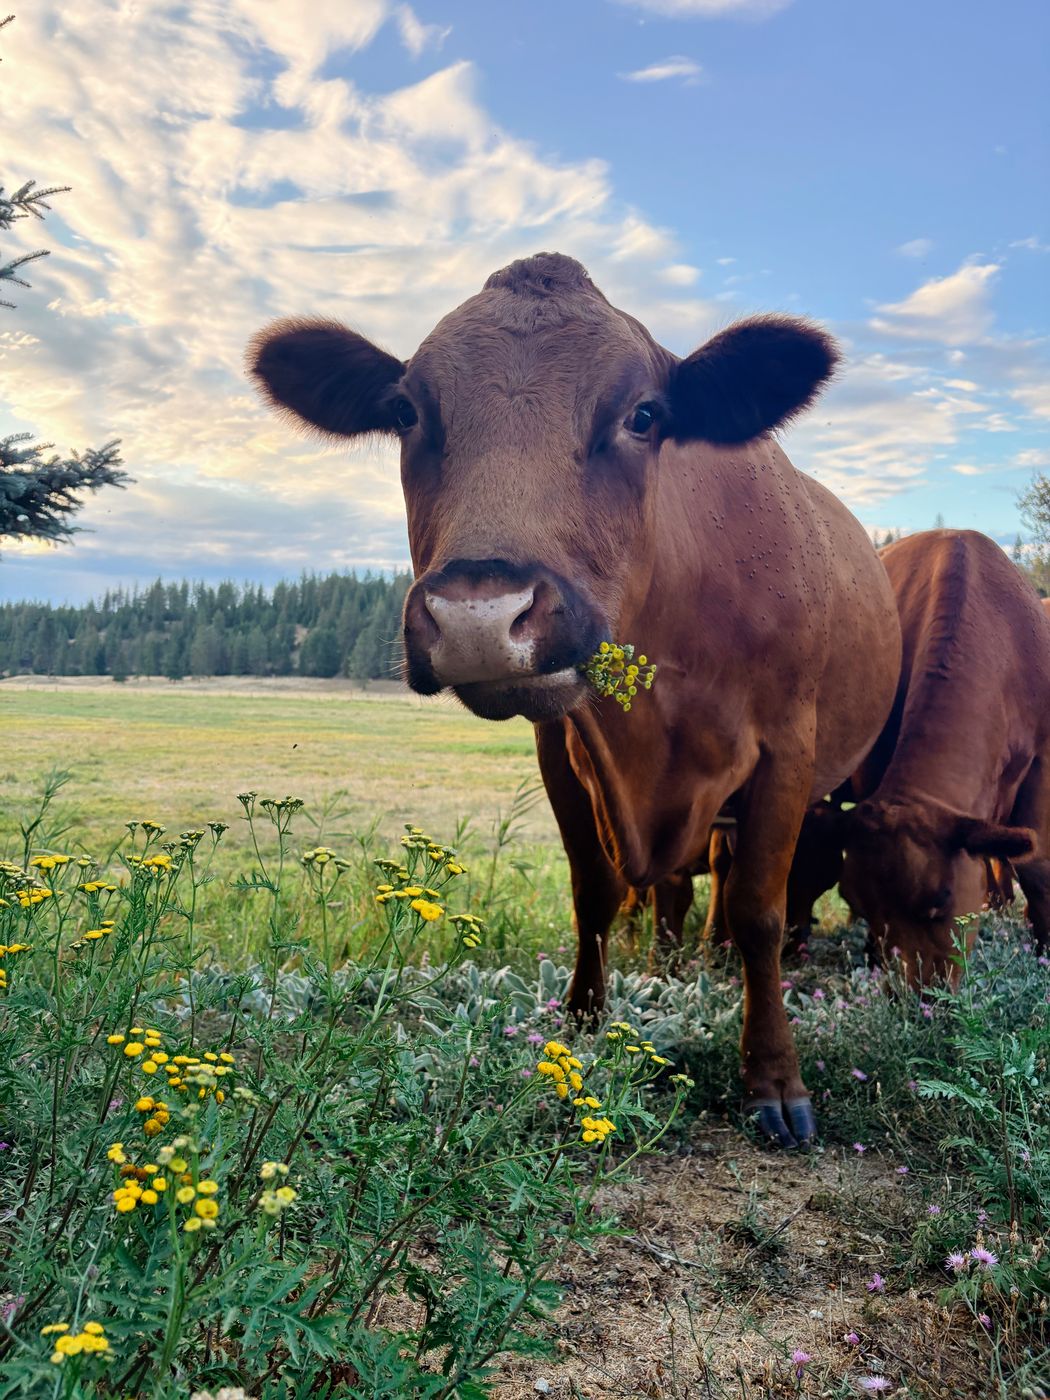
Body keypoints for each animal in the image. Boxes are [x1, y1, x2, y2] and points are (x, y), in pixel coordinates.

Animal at [249, 252, 902, 1147]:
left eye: (644, 414)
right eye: (407, 410)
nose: (480, 617)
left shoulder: (786, 751)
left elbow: (761, 911)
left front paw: (774, 1078)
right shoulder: (562, 748)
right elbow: (594, 890)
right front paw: (583, 1023)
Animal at [831, 530, 1050, 980]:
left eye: (941, 900)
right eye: (858, 902)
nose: (916, 991)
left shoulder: (1043, 758)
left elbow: (1036, 867)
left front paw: (1044, 949)